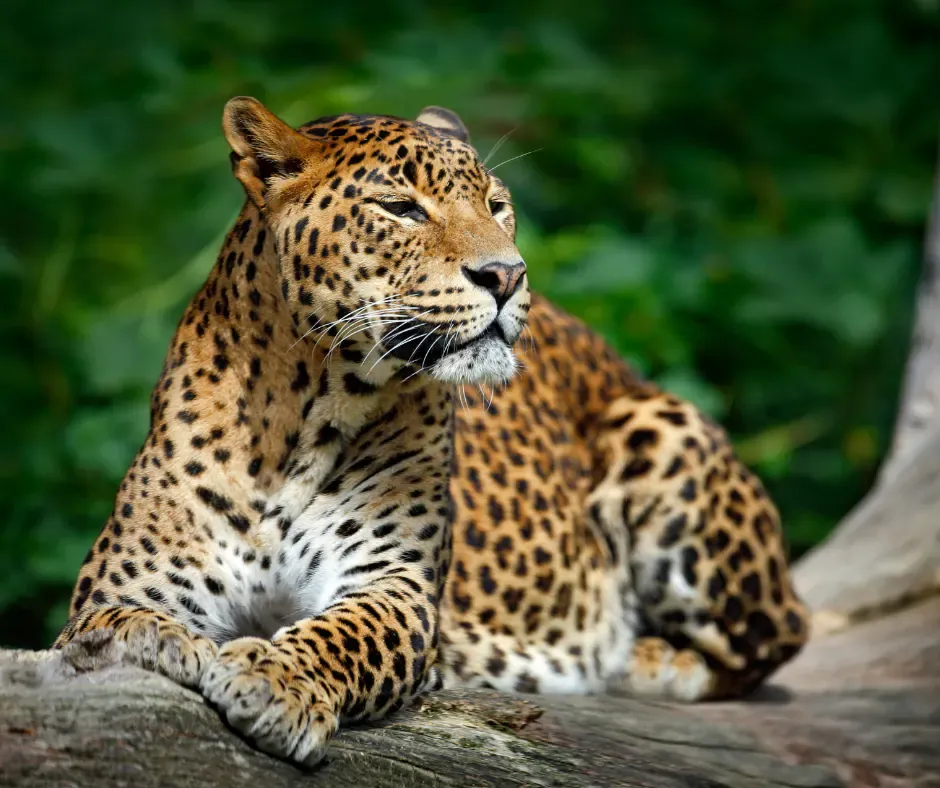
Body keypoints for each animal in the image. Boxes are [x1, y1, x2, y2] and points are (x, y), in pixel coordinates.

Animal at [55, 96, 809, 767]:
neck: (303, 414)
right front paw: (157, 644)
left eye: (497, 205)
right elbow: (109, 626)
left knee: (777, 637)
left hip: (663, 430)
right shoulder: (124, 584)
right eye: (401, 208)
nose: (507, 274)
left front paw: (273, 679)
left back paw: (643, 657)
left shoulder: (396, 585)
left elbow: (343, 635)